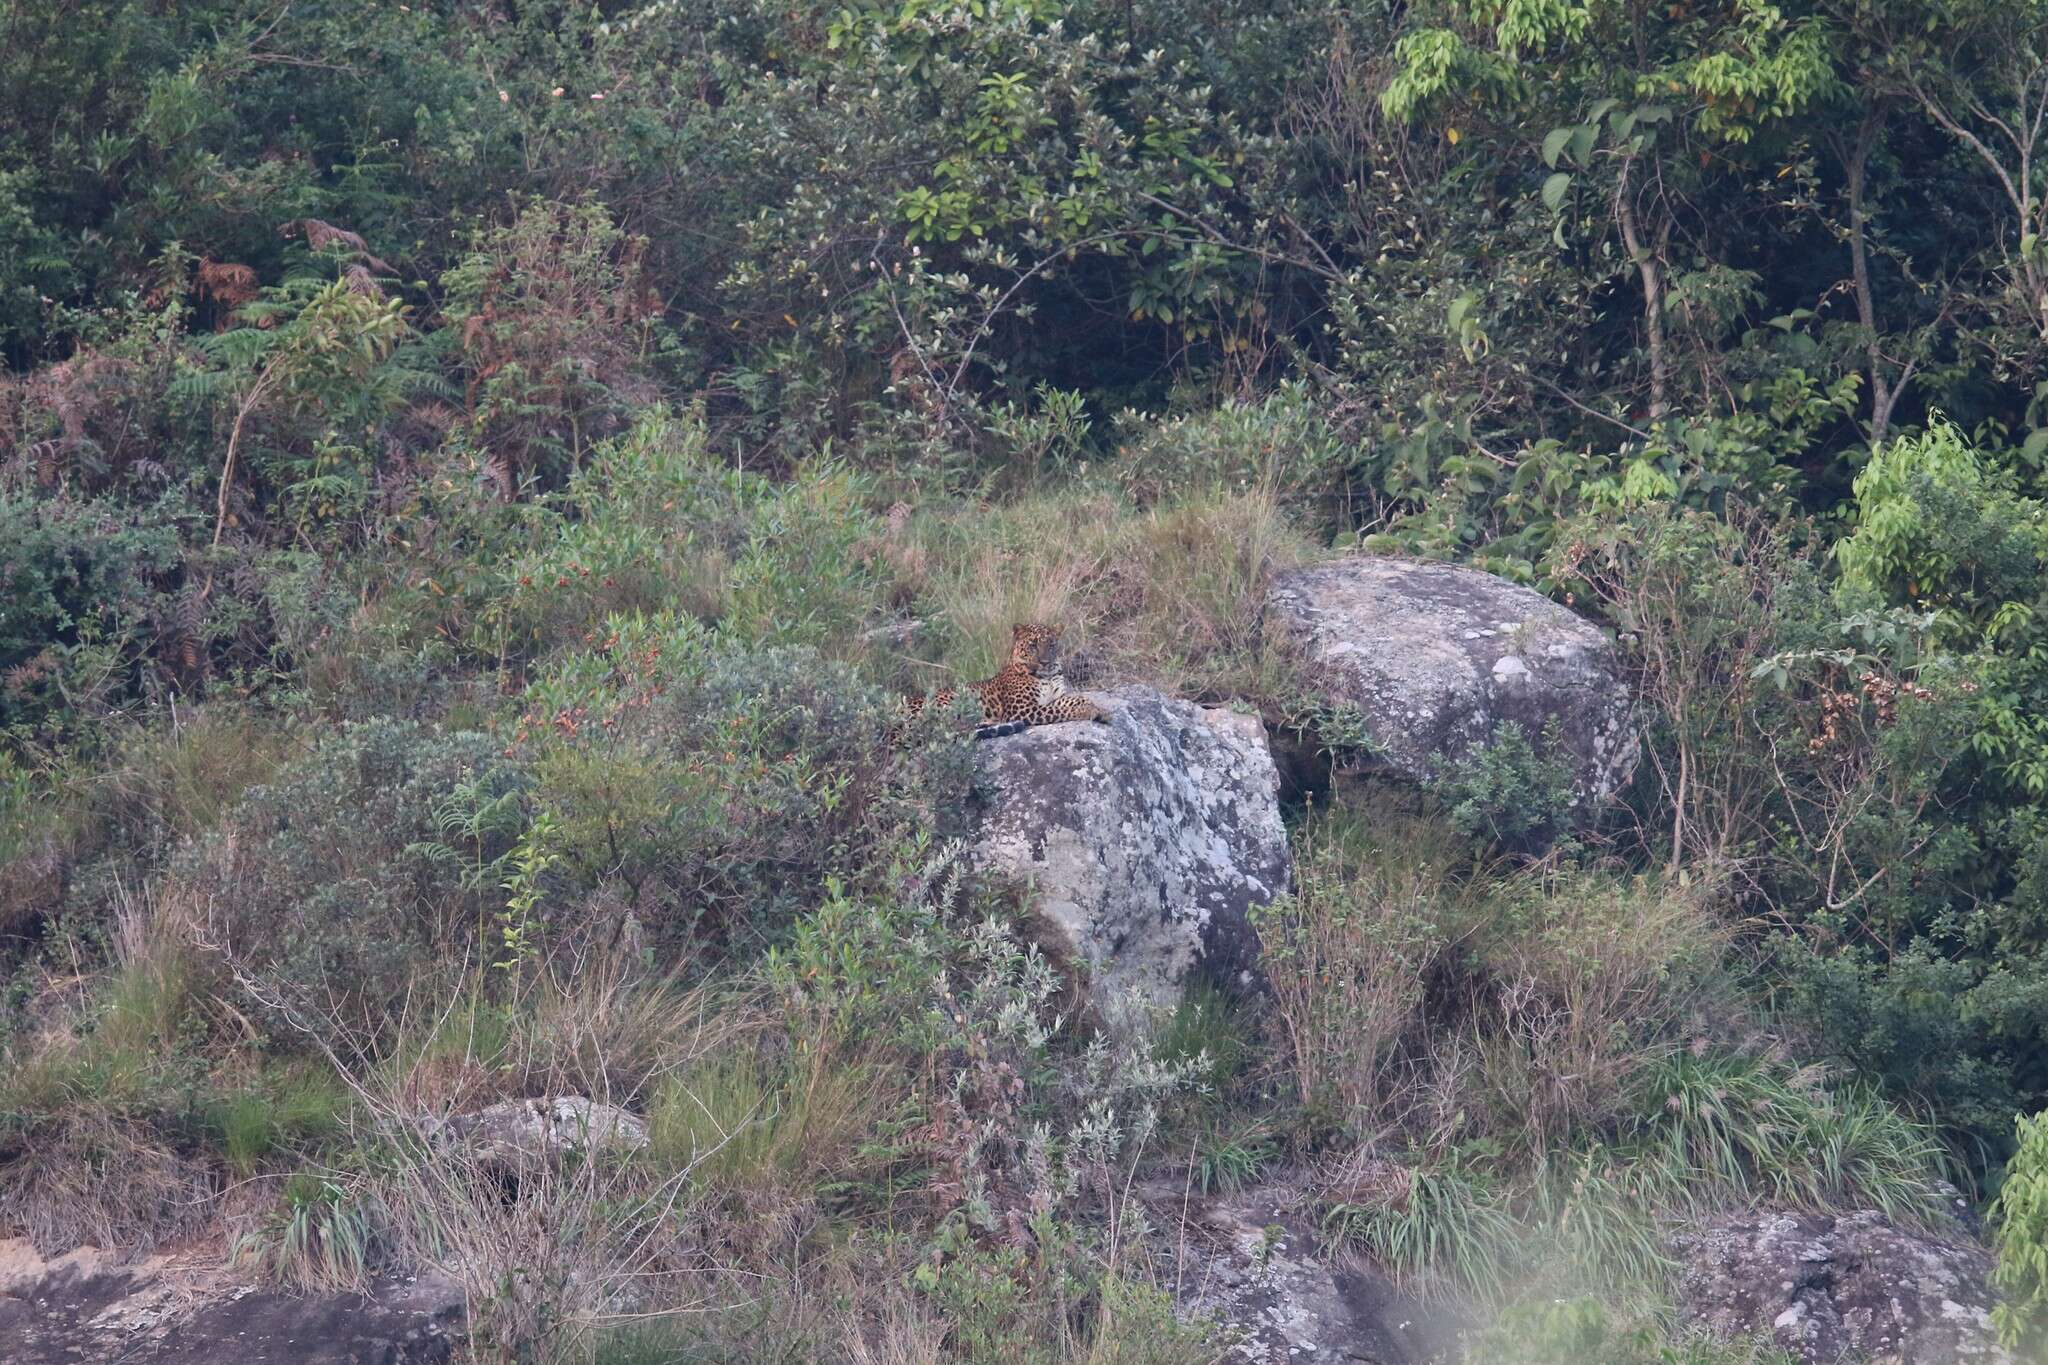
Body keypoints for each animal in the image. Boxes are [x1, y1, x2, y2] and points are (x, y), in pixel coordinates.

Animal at [909, 626, 1114, 740]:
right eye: (1033, 645)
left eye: (1051, 645)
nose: (1044, 662)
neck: (1046, 675)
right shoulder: (1023, 710)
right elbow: (1060, 710)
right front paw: (1089, 711)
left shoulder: (1056, 697)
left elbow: (1073, 699)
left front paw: (1100, 709)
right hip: (943, 703)